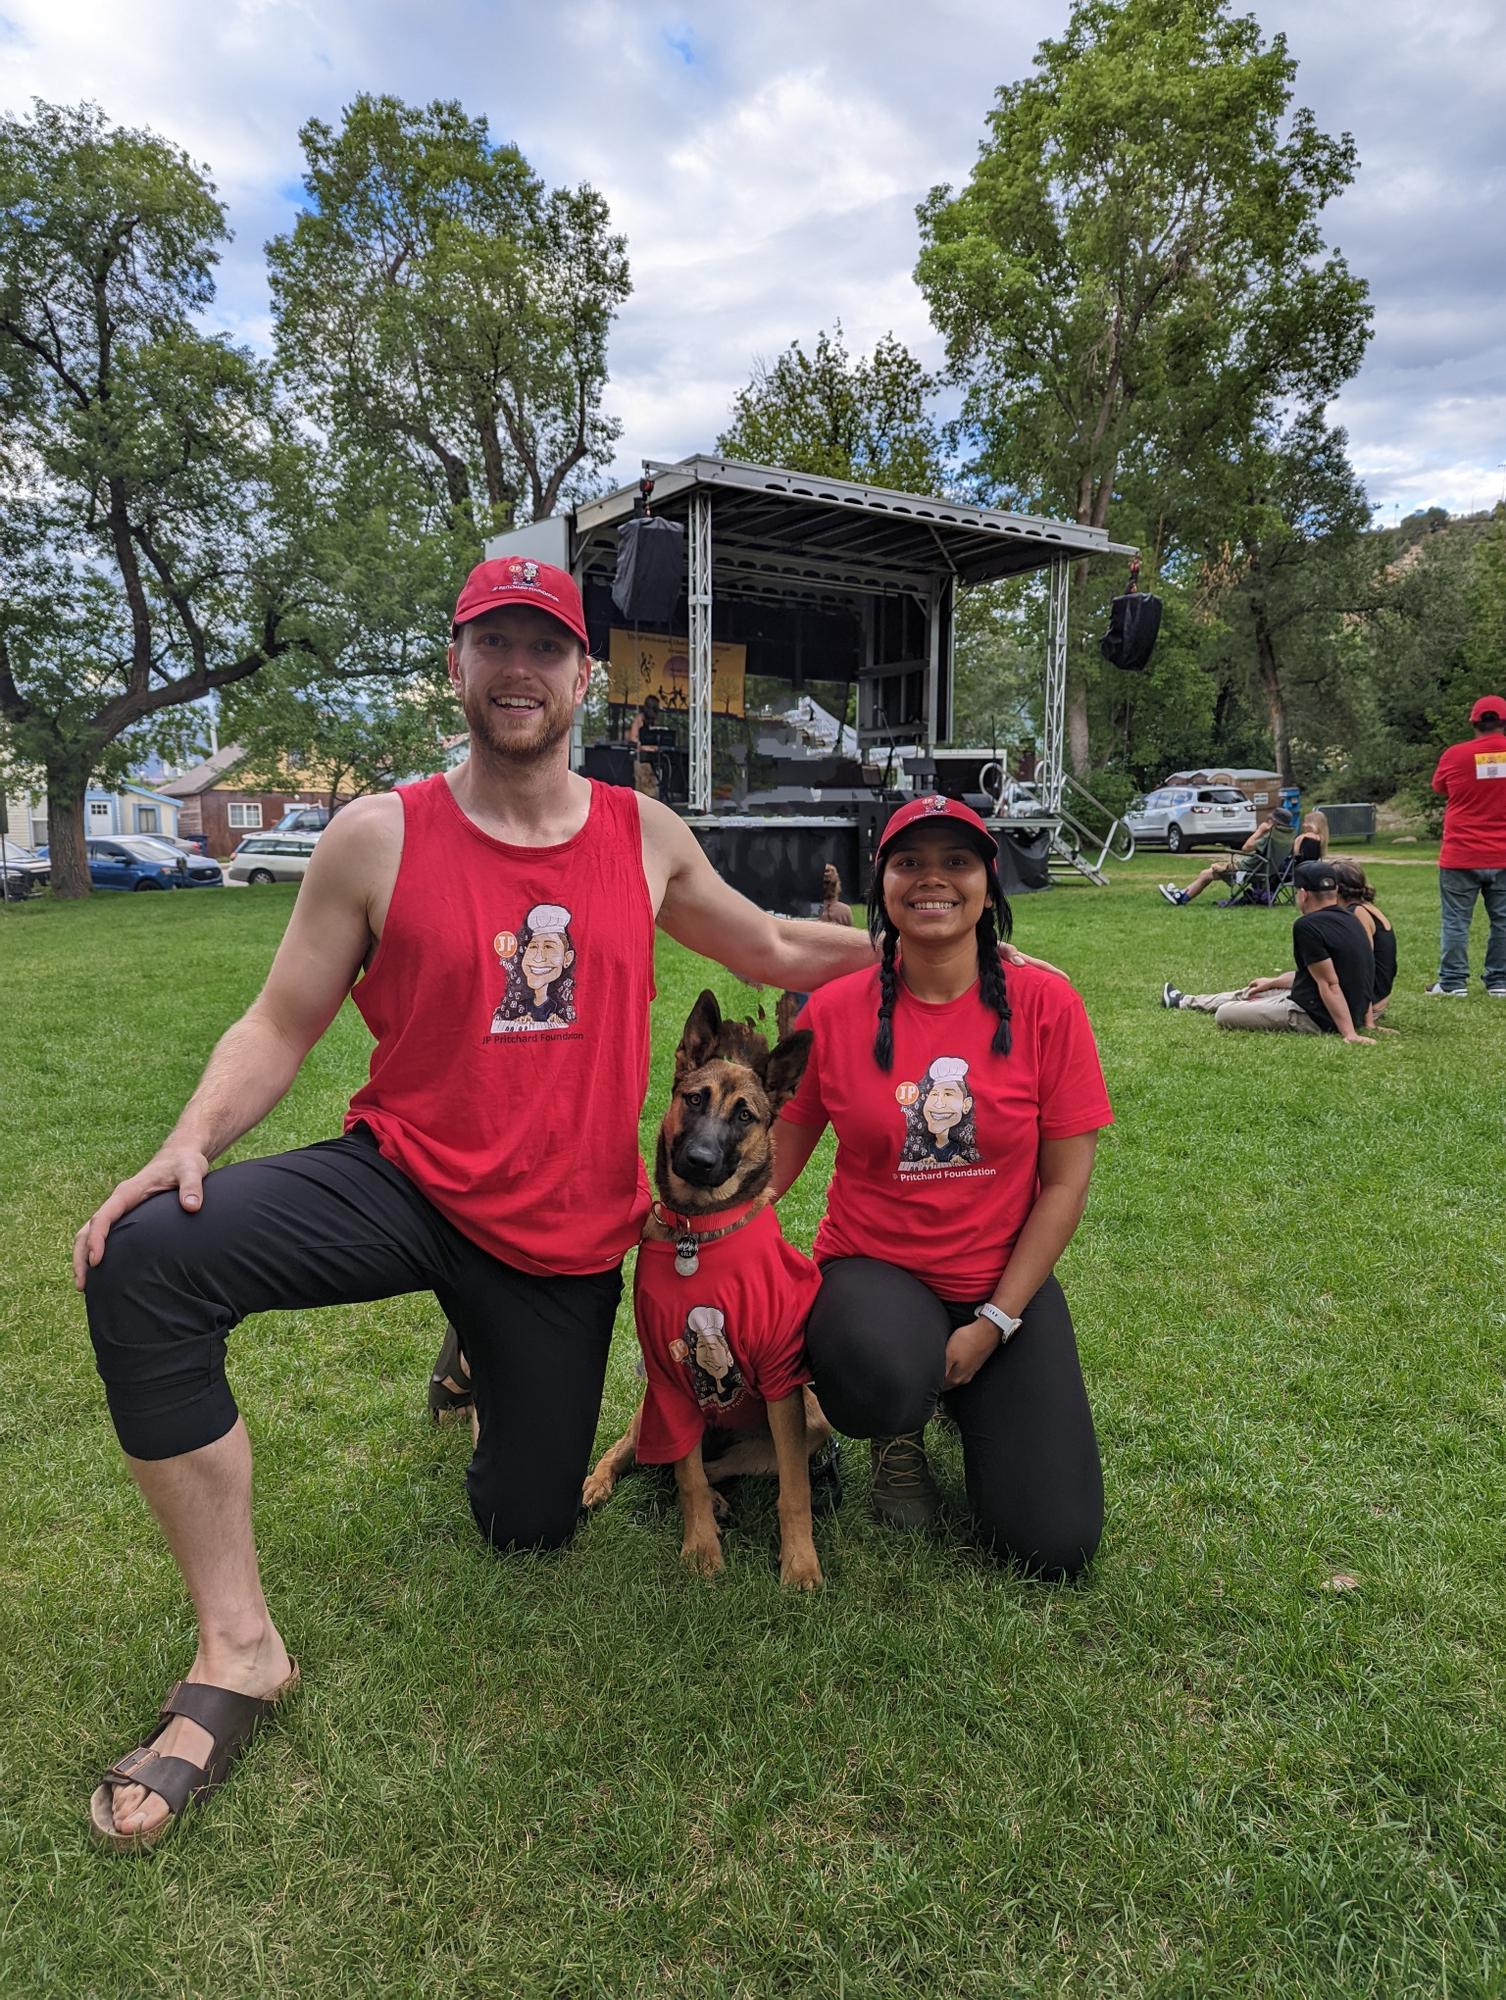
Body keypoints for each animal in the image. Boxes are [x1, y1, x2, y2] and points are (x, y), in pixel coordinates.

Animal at [580, 988, 836, 1592]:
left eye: (745, 1115)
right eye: (694, 1100)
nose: (698, 1161)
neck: (698, 1235)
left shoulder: (782, 1384)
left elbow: (794, 1490)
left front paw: (799, 1562)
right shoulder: (670, 1381)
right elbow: (687, 1475)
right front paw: (700, 1547)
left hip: (810, 1422)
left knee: (714, 1466)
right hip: (653, 1408)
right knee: (643, 1453)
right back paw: (601, 1481)